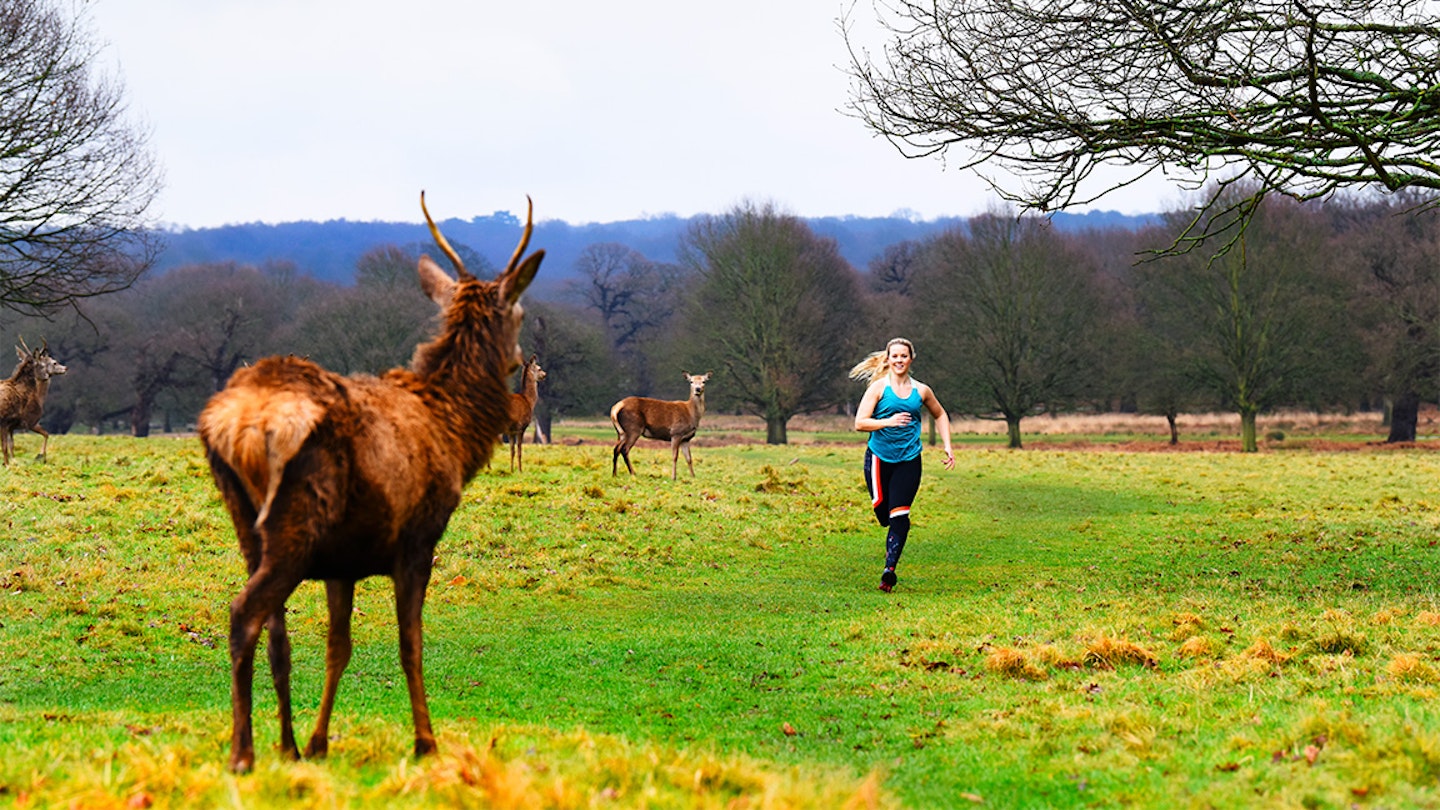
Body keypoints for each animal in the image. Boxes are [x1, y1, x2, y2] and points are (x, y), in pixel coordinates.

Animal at [0, 335, 67, 464]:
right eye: (54, 362)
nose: (65, 368)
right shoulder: (28, 422)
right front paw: (41, 456)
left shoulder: (12, 425)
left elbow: (11, 446)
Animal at [194, 188, 541, 766]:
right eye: (518, 309)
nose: (520, 359)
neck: (454, 433)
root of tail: (243, 424)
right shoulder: (418, 538)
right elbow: (410, 643)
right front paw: (426, 741)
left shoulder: (343, 561)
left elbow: (339, 648)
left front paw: (318, 741)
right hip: (298, 520)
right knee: (243, 615)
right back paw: (243, 753)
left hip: (247, 523)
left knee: (276, 633)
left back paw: (287, 746)